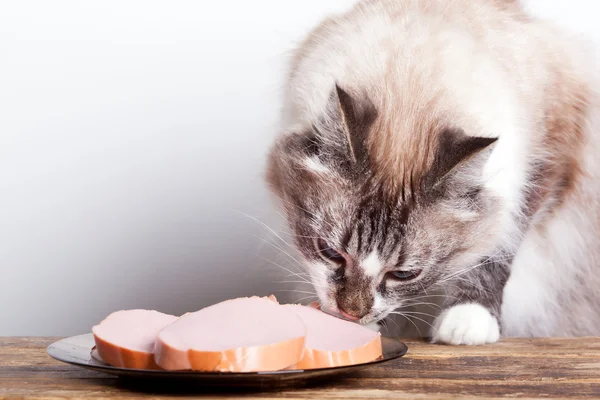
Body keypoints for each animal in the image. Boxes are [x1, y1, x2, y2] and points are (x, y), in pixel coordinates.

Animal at [266, 0, 600, 344]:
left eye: (404, 274)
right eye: (330, 252)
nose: (351, 313)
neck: (409, 79)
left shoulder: (546, 161)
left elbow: (494, 253)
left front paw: (467, 320)